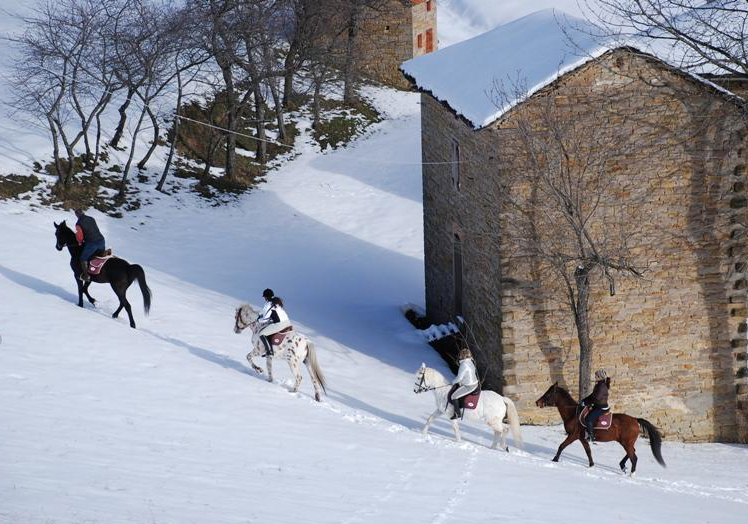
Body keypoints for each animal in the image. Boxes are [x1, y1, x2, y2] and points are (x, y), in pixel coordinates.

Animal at [536, 380, 668, 474]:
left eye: (548, 394)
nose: (537, 402)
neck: (573, 414)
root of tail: (635, 420)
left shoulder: (573, 435)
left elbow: (561, 446)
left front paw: (555, 459)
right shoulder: (582, 438)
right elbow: (588, 451)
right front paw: (591, 465)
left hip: (626, 442)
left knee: (634, 457)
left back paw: (631, 474)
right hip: (626, 442)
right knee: (632, 452)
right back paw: (622, 466)